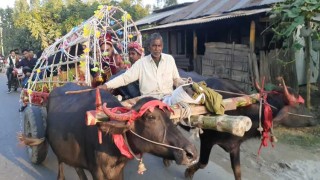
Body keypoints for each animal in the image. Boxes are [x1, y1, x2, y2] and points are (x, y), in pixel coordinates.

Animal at [45, 82, 198, 179]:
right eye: (150, 117)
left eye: (169, 116)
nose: (191, 153)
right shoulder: (98, 172)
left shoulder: (118, 171)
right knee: (61, 166)